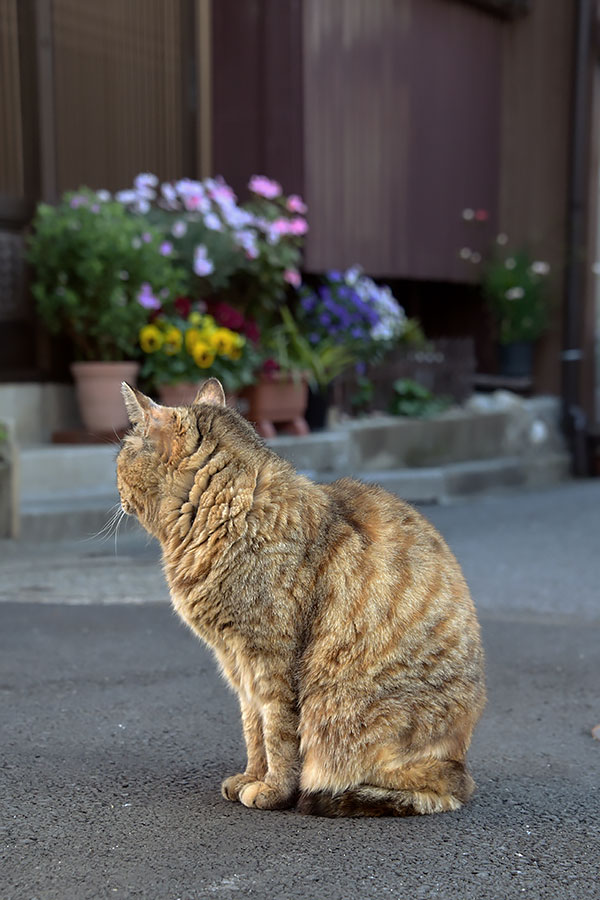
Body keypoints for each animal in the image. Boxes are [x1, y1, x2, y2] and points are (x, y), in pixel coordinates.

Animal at [118, 378, 488, 816]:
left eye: (122, 454)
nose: (116, 486)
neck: (226, 514)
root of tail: (461, 764)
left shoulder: (271, 659)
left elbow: (278, 734)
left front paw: (273, 790)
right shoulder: (238, 663)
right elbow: (253, 730)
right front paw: (251, 777)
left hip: (351, 711)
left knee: (436, 790)